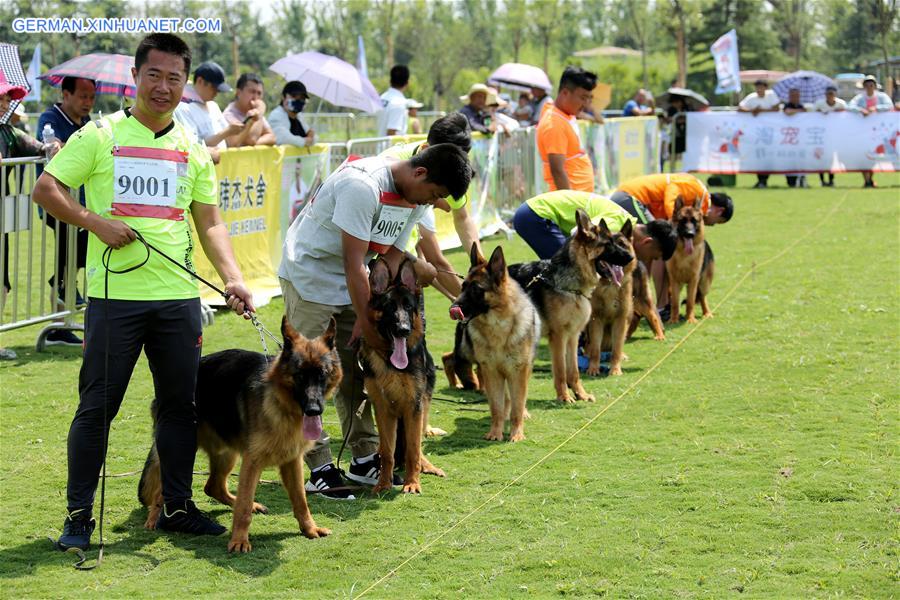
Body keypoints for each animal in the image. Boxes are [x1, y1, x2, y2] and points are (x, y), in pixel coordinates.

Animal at [139, 318, 340, 552]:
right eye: (299, 376)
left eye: (322, 375)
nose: (313, 410)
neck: (279, 403)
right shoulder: (252, 462)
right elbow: (243, 509)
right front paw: (239, 540)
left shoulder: (292, 462)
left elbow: (301, 501)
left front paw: (309, 529)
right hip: (180, 449)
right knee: (161, 491)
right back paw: (154, 517)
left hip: (227, 455)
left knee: (213, 487)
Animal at [358, 260, 442, 494]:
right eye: (389, 307)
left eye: (408, 307)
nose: (403, 330)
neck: (392, 363)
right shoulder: (383, 409)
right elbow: (387, 453)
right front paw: (383, 483)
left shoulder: (414, 407)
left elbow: (413, 450)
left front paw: (412, 483)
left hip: (423, 406)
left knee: (418, 446)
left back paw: (428, 466)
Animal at [450, 244, 540, 440]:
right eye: (463, 287)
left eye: (476, 290)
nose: (452, 308)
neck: (498, 328)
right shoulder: (491, 372)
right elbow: (496, 407)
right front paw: (495, 433)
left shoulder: (517, 372)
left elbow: (517, 406)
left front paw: (516, 434)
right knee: (506, 400)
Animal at [510, 210, 616, 404]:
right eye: (608, 244)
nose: (631, 257)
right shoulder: (558, 338)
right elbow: (560, 371)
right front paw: (564, 397)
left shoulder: (572, 337)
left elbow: (573, 371)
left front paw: (581, 394)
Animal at [588, 220, 636, 378]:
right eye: (608, 246)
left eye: (622, 244)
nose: (629, 256)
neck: (610, 285)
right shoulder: (596, 319)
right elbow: (595, 349)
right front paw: (593, 368)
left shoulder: (620, 321)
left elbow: (616, 349)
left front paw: (615, 369)